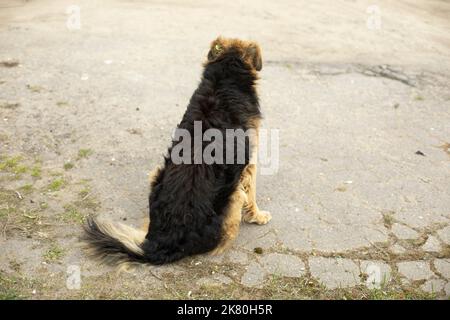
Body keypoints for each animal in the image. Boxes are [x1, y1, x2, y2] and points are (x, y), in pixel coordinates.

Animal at [83, 37, 270, 268]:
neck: (224, 80)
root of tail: (162, 243)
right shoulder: (249, 163)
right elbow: (252, 194)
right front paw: (258, 216)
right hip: (234, 195)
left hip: (156, 174)